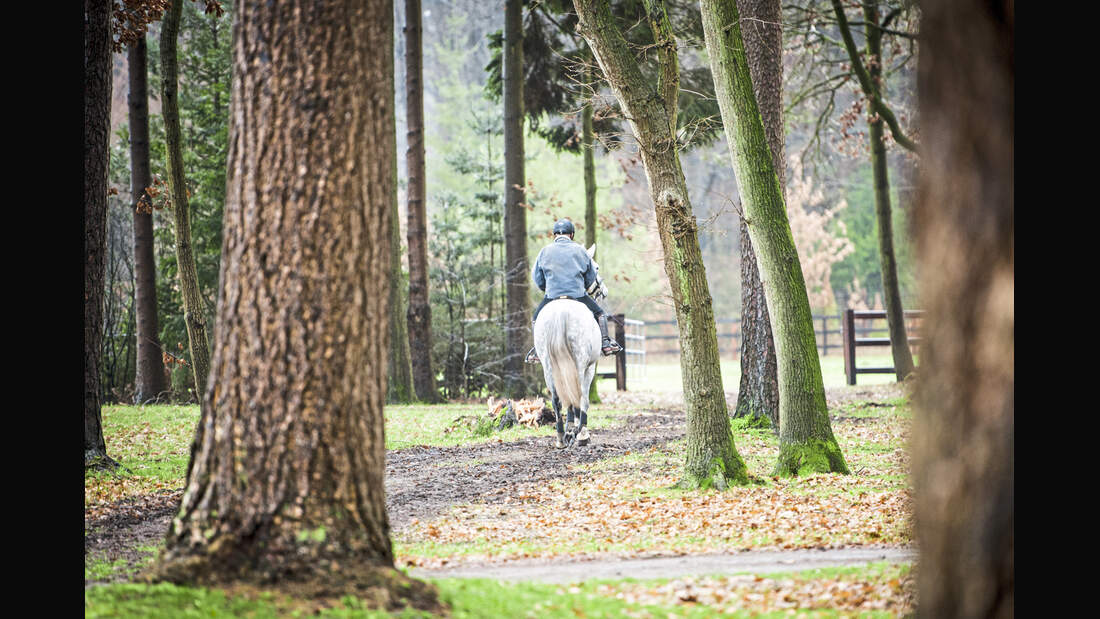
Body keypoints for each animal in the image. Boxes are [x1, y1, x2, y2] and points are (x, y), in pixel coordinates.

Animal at [534, 242, 611, 450]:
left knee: (556, 398)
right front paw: (579, 430)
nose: (604, 292)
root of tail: (561, 312)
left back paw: (561, 437)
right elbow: (581, 398)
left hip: (548, 366)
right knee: (581, 395)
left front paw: (570, 428)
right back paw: (582, 434)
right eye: (596, 267)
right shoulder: (589, 367)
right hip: (580, 363)